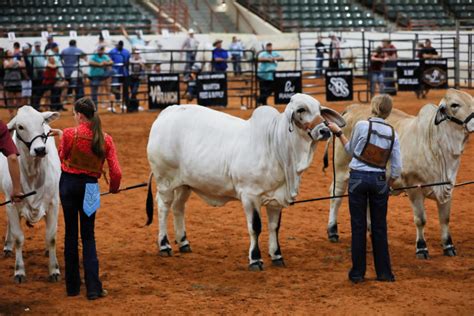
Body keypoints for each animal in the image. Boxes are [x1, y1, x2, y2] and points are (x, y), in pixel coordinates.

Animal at [0, 107, 62, 284]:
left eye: (42, 122)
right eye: (20, 127)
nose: (40, 149)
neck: (33, 173)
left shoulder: (54, 203)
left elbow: (51, 237)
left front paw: (54, 269)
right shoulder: (11, 203)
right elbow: (19, 238)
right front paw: (19, 271)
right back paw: (8, 246)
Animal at [145, 93, 344, 270]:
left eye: (320, 110)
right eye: (301, 109)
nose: (325, 130)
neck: (275, 146)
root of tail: (167, 112)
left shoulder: (276, 199)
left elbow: (274, 227)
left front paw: (277, 255)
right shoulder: (250, 196)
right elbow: (255, 227)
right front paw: (255, 259)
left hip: (185, 184)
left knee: (178, 207)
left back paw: (184, 242)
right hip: (165, 181)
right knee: (163, 207)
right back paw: (164, 245)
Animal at [328, 89, 472, 260]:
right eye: (455, 105)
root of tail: (352, 108)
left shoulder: (447, 187)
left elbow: (445, 219)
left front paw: (449, 246)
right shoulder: (414, 187)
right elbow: (420, 219)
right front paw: (421, 248)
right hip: (341, 170)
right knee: (335, 197)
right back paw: (332, 231)